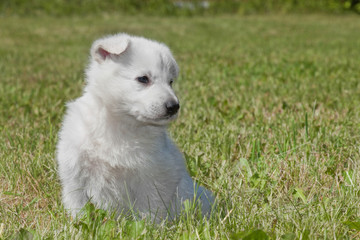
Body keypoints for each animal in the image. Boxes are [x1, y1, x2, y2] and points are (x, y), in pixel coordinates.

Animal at [56, 33, 214, 219]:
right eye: (143, 79)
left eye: (170, 82)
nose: (174, 106)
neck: (121, 124)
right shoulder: (74, 175)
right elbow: (78, 207)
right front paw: (78, 223)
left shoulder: (152, 178)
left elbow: (149, 212)